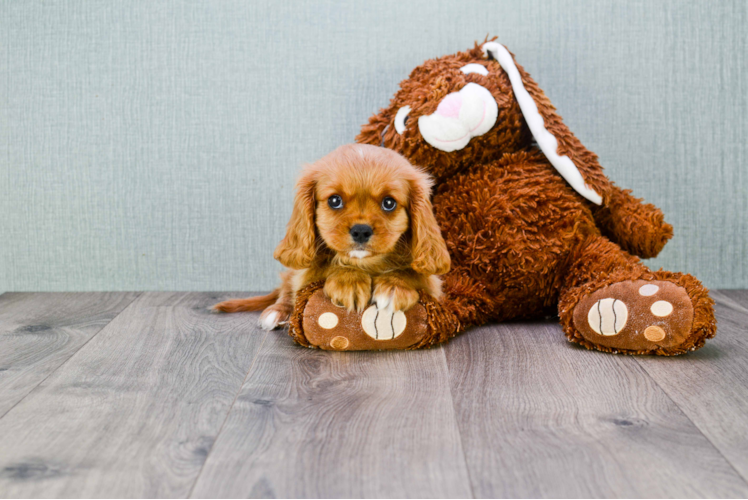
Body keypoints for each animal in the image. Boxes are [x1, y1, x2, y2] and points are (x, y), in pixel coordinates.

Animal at [213, 143, 452, 330]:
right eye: (334, 200)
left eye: (389, 203)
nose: (361, 230)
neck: (366, 264)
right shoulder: (306, 274)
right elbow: (327, 266)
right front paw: (349, 282)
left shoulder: (433, 284)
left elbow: (414, 273)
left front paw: (395, 286)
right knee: (286, 289)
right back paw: (277, 312)